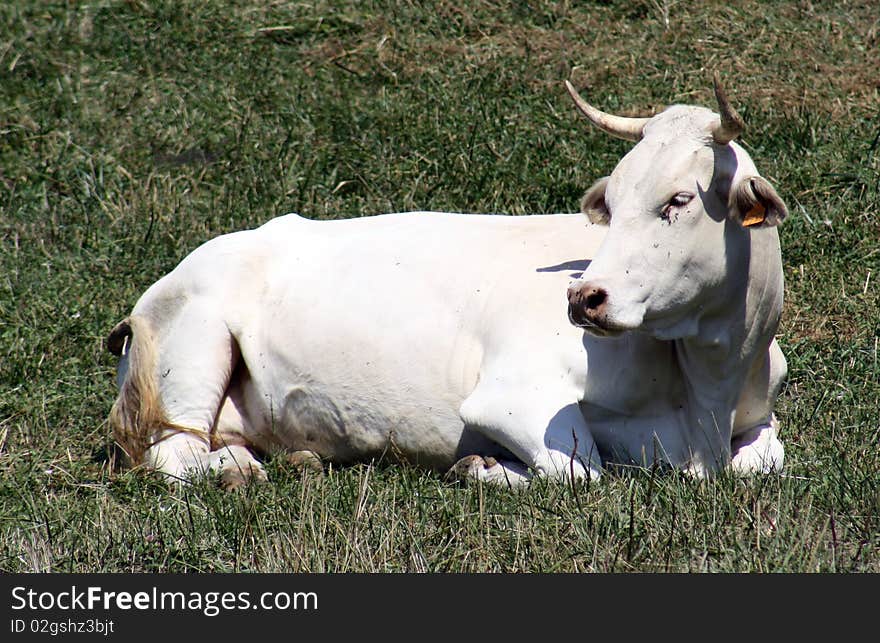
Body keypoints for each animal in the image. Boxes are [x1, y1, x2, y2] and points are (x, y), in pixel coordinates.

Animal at [106, 75, 788, 488]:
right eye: (612, 204)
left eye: (679, 200)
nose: (583, 297)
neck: (706, 389)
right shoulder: (510, 393)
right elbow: (578, 474)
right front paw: (483, 467)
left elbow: (764, 463)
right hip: (190, 354)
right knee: (175, 457)